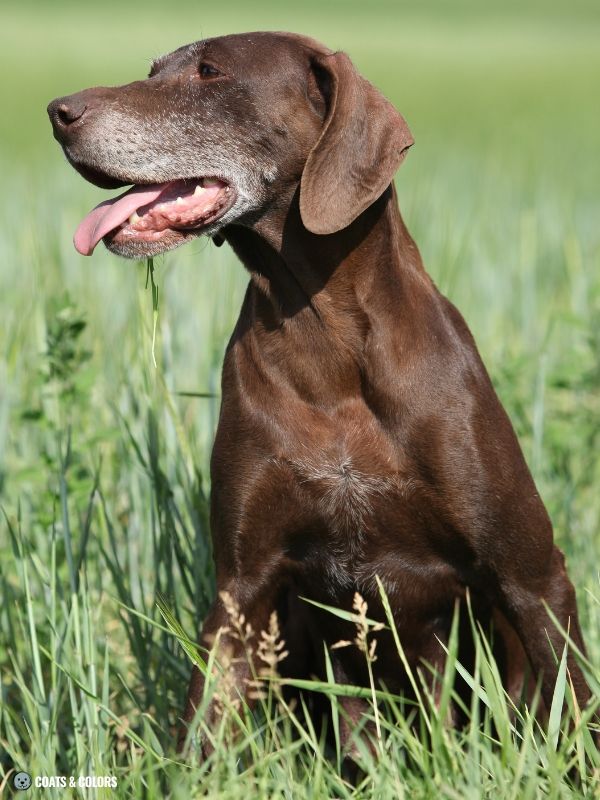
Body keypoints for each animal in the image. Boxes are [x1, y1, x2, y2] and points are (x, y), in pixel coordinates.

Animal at [47, 31, 592, 756]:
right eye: (153, 71)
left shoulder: (530, 577)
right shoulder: (242, 590)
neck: (325, 338)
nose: (59, 112)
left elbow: (574, 713)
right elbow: (201, 735)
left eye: (209, 72)